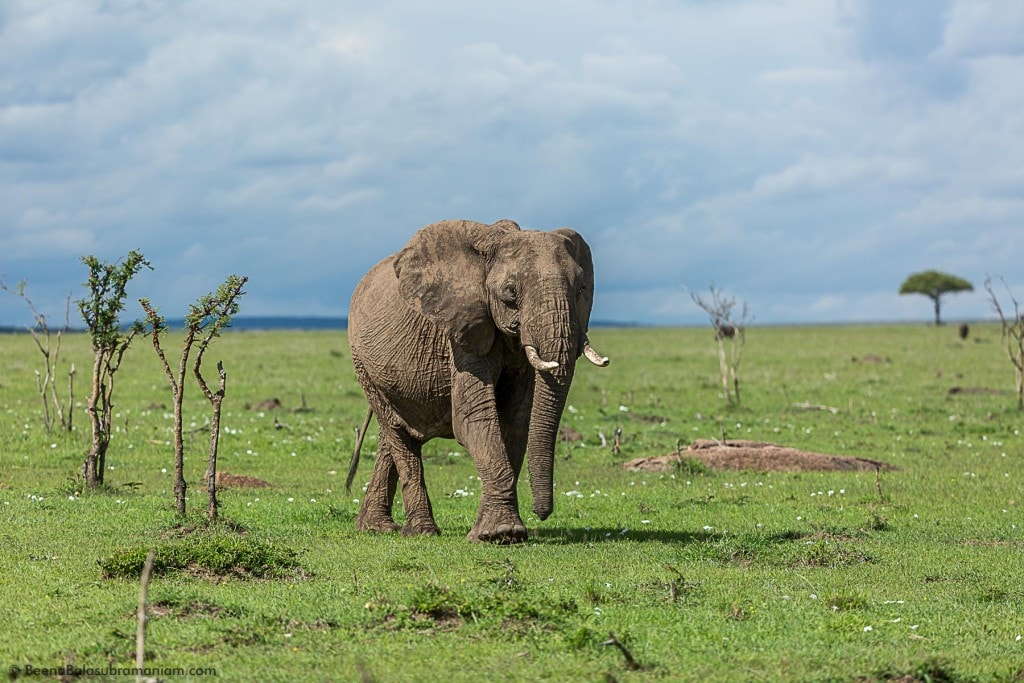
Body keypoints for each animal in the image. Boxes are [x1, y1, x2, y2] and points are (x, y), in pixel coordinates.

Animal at [344, 219, 606, 544]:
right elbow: (473, 419)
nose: (542, 513)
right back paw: (421, 531)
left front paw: (488, 533)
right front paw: (502, 533)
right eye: (511, 292)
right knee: (398, 433)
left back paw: (375, 527)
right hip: (361, 361)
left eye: (581, 288)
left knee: (393, 433)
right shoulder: (462, 333)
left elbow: (515, 421)